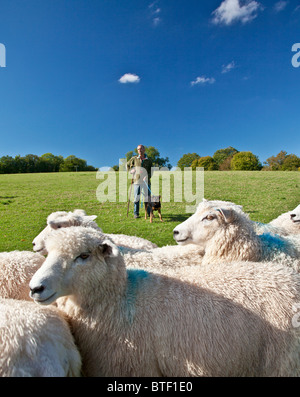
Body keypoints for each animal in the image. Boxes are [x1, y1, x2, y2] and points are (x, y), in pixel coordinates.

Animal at [28, 227, 300, 376]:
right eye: (49, 253)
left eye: (83, 256)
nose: (35, 288)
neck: (121, 301)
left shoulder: (134, 367)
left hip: (284, 365)